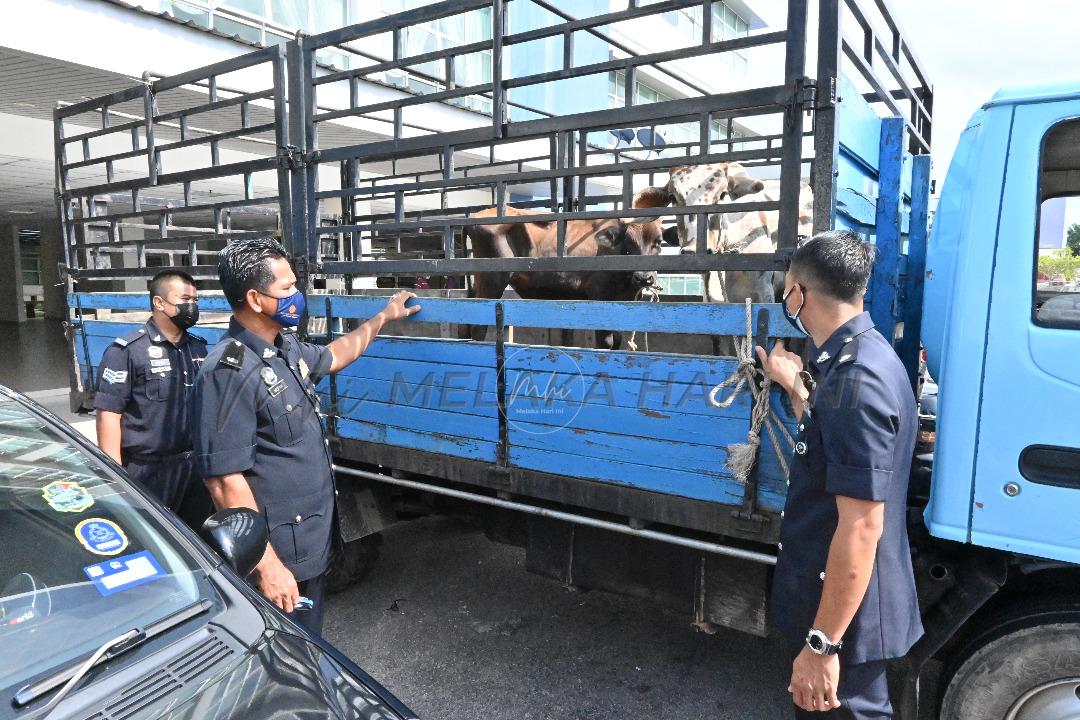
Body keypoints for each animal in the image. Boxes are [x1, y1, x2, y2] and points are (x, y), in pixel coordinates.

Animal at [466, 188, 669, 349]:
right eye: (629, 242)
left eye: (658, 243)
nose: (644, 277)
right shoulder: (599, 293)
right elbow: (606, 341)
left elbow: (617, 339)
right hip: (491, 282)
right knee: (477, 327)